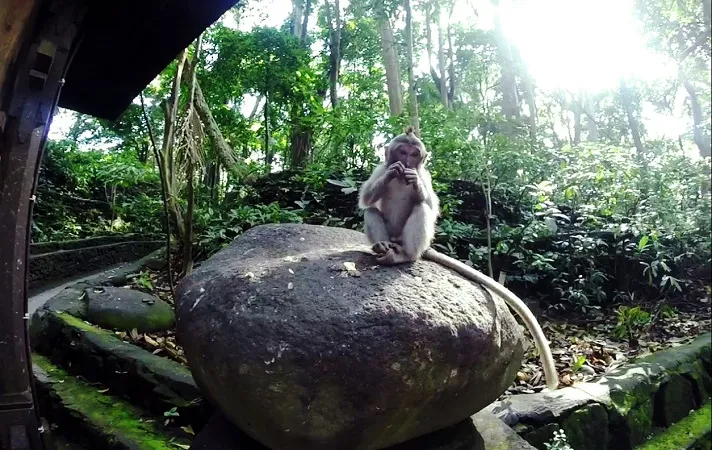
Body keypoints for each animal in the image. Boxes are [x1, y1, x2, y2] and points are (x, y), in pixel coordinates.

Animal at [358, 126, 560, 390]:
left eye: (414, 154)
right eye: (402, 151)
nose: (407, 161)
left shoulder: (426, 175)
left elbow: (430, 205)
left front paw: (416, 185)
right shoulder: (379, 169)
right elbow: (367, 197)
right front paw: (393, 172)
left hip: (414, 241)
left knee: (421, 210)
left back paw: (403, 256)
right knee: (371, 210)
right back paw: (383, 248)